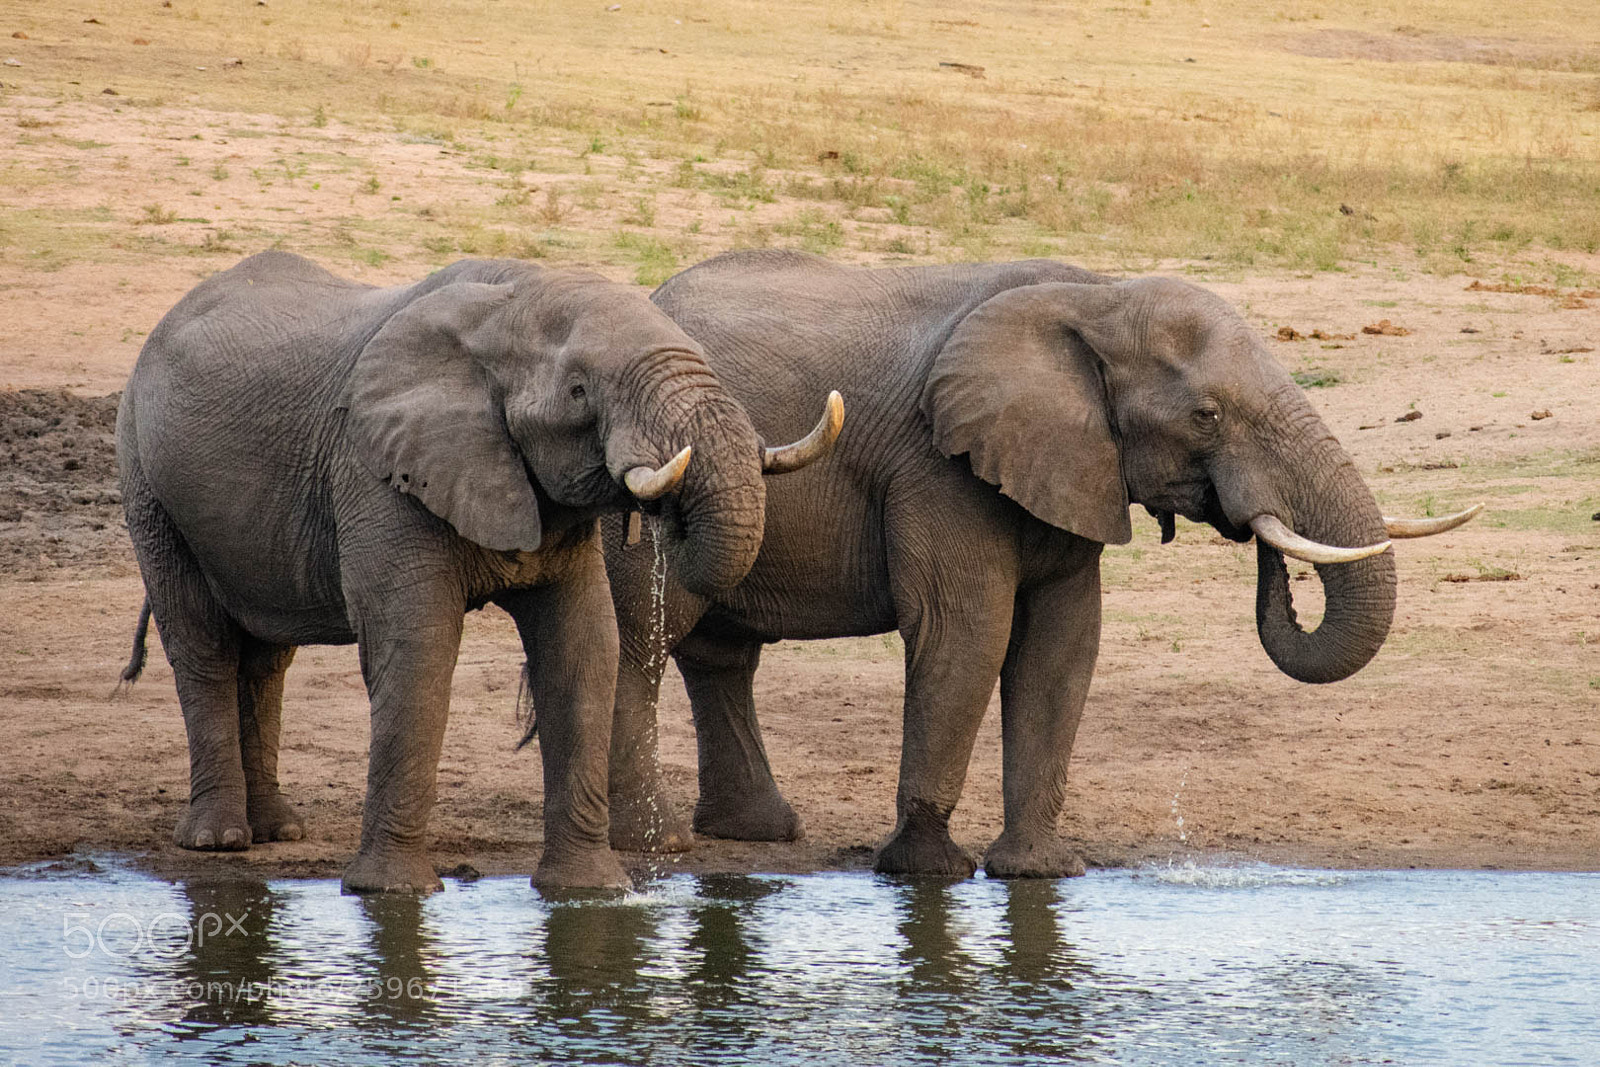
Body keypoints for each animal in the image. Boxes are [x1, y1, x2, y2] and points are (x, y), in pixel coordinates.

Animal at [116, 250, 839, 894]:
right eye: (580, 390)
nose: (667, 516)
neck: (510, 300)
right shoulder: (377, 471)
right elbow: (417, 650)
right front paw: (392, 894)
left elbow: (583, 649)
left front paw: (590, 893)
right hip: (146, 479)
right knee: (204, 644)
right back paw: (219, 840)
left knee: (267, 657)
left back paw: (276, 832)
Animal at [599, 249, 1478, 879]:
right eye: (1206, 415)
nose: (1254, 531)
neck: (1097, 298)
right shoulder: (939, 463)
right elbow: (968, 634)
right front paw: (929, 873)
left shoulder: (1071, 465)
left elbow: (1063, 645)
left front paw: (1040, 873)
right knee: (647, 639)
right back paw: (658, 842)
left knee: (721, 654)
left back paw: (757, 833)